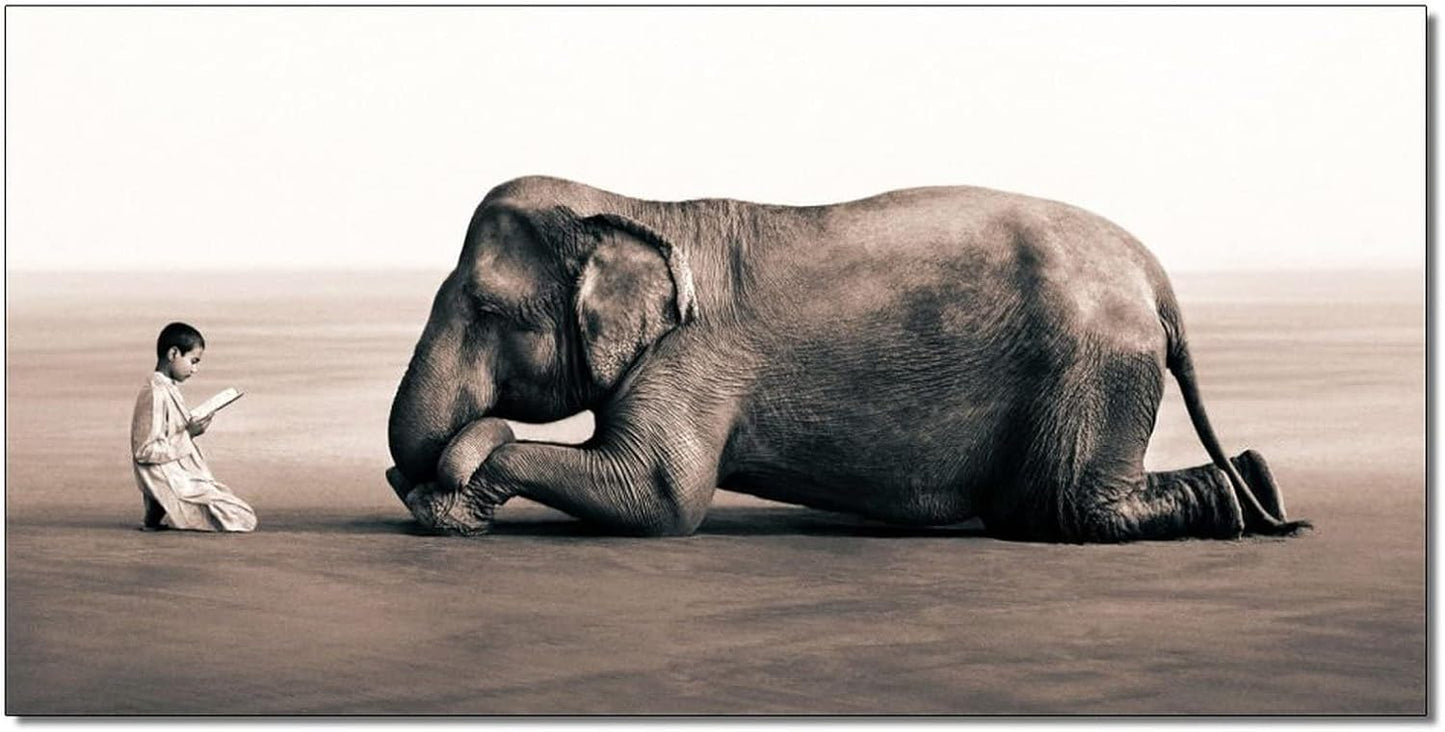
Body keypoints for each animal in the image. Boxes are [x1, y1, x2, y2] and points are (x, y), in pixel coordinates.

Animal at [385, 175, 1310, 542]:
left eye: (486, 309)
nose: (406, 472)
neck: (633, 205)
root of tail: (1153, 274)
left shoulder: (694, 357)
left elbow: (658, 498)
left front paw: (452, 496)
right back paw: (1258, 487)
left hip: (1094, 362)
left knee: (1069, 511)